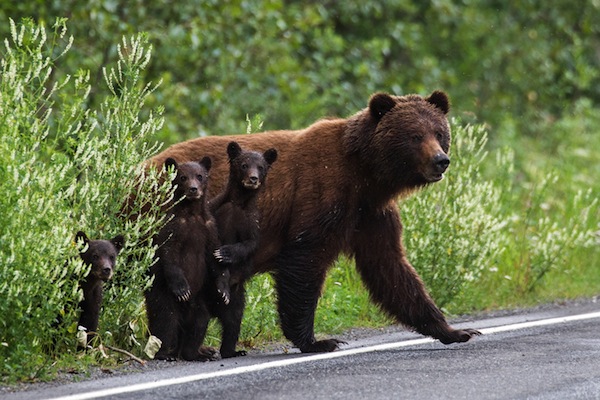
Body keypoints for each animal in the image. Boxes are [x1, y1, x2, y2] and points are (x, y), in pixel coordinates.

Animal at [145, 157, 220, 362]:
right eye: (183, 177)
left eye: (200, 176)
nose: (193, 189)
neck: (192, 214)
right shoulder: (173, 228)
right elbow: (169, 256)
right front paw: (182, 288)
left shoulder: (209, 228)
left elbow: (214, 257)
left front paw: (223, 290)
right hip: (163, 296)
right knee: (166, 322)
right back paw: (165, 353)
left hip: (198, 304)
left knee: (199, 323)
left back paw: (196, 353)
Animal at [207, 141, 278, 360]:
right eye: (244, 164)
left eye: (261, 167)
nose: (253, 179)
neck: (238, 202)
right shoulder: (215, 209)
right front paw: (221, 284)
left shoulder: (252, 221)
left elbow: (249, 244)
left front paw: (226, 252)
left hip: (237, 299)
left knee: (233, 322)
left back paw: (233, 350)